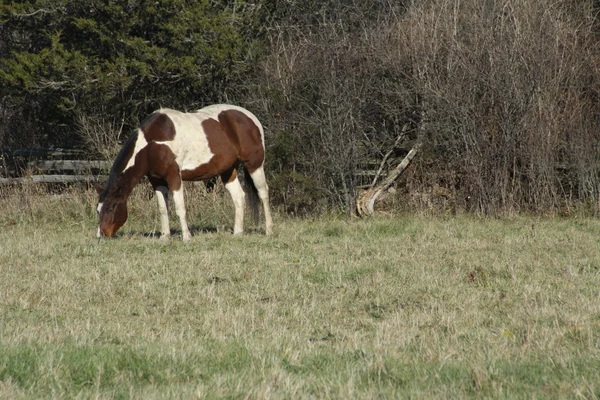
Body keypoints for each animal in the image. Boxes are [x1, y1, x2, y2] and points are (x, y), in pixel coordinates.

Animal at [95, 104, 274, 241]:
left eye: (111, 208)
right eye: (98, 210)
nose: (101, 235)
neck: (152, 144)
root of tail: (251, 118)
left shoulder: (174, 176)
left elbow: (180, 207)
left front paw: (186, 237)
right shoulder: (157, 180)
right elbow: (163, 209)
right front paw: (164, 237)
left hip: (254, 165)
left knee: (263, 193)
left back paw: (269, 230)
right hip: (228, 170)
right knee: (239, 197)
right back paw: (238, 232)